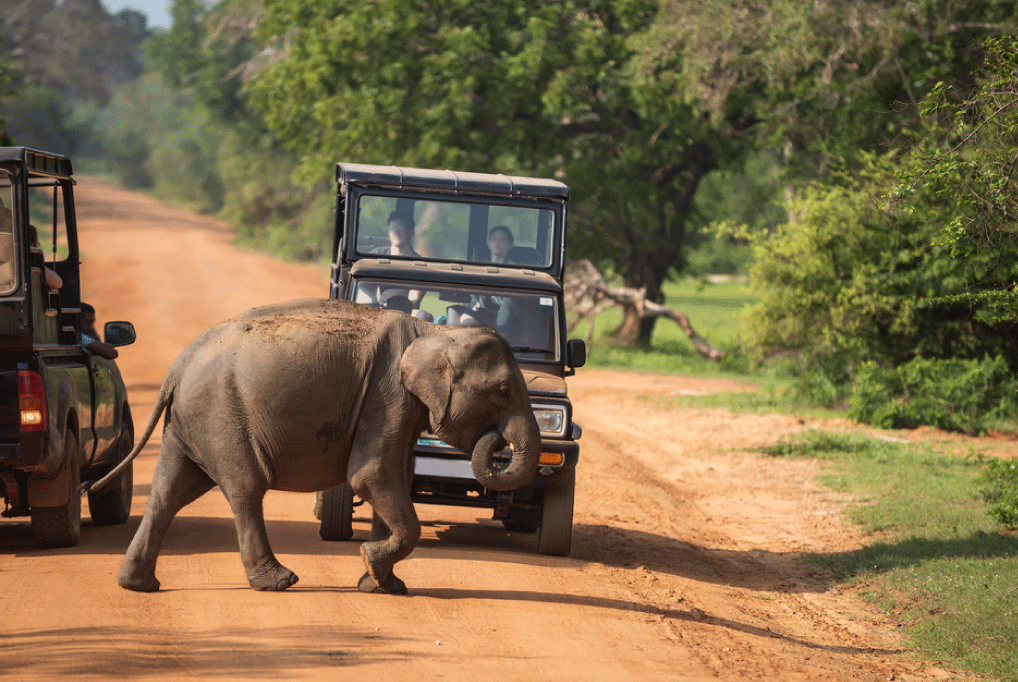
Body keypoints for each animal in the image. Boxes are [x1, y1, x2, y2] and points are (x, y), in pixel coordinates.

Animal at [87, 297, 541, 594]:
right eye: (503, 391)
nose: (497, 439)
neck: (437, 334)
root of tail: (177, 366)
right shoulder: (387, 396)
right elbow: (372, 476)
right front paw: (372, 566)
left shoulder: (400, 407)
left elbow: (395, 476)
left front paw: (382, 585)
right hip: (220, 415)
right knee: (245, 487)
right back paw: (279, 581)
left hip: (189, 422)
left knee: (171, 491)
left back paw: (138, 585)